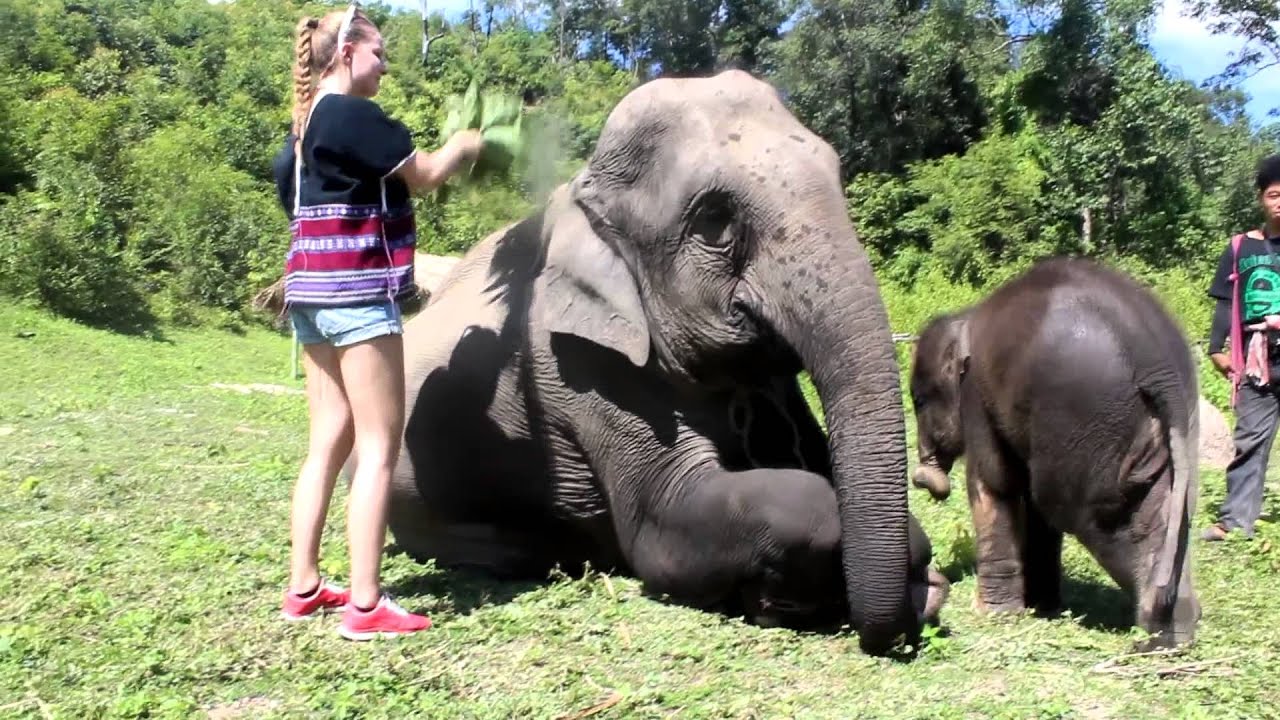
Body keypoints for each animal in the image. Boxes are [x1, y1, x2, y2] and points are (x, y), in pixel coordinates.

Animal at [384, 70, 948, 655]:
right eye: (714, 221)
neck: (583, 191)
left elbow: (815, 460)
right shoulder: (578, 368)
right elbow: (672, 522)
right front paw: (788, 598)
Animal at [908, 257, 1201, 650]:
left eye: (919, 400)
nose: (924, 478)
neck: (965, 317)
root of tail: (1157, 363)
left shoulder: (976, 398)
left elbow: (994, 482)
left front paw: (993, 613)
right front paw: (1040, 606)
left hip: (1086, 422)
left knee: (1088, 513)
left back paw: (1154, 629)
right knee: (1166, 510)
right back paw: (1172, 632)